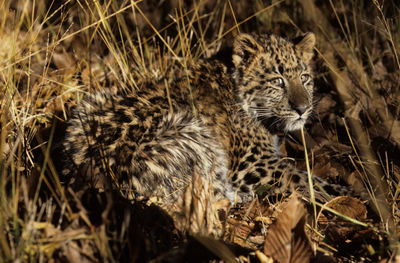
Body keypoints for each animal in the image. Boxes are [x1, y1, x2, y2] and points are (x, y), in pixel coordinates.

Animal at [62, 32, 350, 204]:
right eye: (277, 81)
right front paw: (350, 195)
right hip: (191, 133)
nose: (303, 108)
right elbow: (304, 178)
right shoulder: (253, 165)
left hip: (88, 105)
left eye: (305, 78)